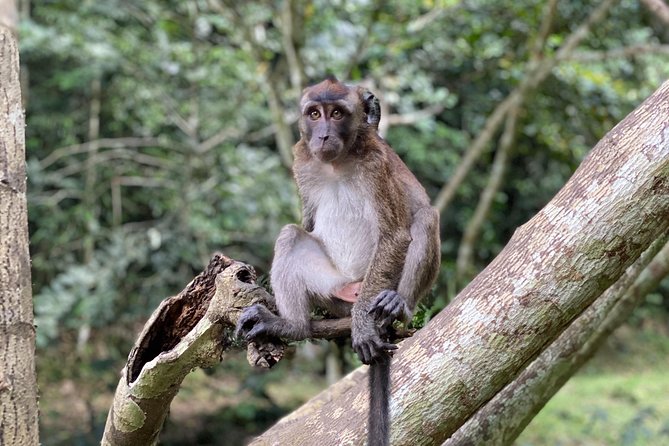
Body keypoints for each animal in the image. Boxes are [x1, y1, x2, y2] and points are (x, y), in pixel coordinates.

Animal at [237, 77, 440, 446]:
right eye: (315, 113)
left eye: (337, 114)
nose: (323, 135)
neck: (337, 162)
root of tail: (353, 287)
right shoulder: (301, 162)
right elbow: (305, 223)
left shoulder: (377, 164)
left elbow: (395, 235)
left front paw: (362, 325)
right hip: (331, 287)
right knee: (290, 235)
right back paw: (292, 324)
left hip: (375, 283)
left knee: (424, 219)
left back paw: (396, 304)